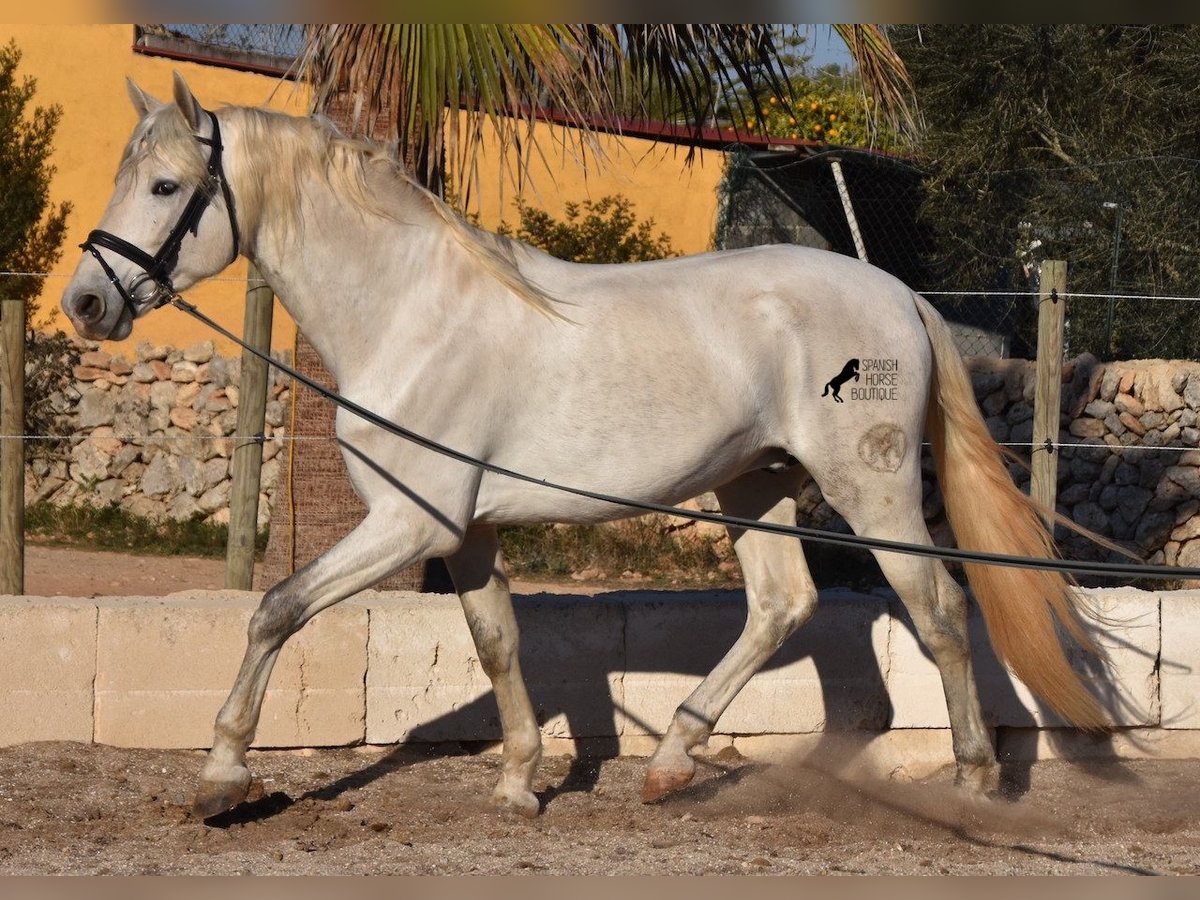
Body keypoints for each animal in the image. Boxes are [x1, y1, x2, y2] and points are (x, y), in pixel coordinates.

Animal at [60, 75, 1099, 825]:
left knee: (940, 611)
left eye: (165, 187)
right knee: (781, 606)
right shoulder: (463, 532)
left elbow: (275, 610)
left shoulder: (407, 522)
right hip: (752, 486)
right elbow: (496, 642)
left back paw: (971, 781)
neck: (408, 315)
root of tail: (897, 293)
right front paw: (520, 783)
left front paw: (221, 774)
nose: (86, 304)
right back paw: (671, 762)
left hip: (869, 491)